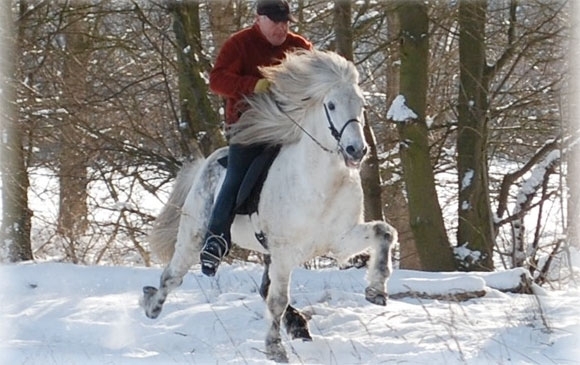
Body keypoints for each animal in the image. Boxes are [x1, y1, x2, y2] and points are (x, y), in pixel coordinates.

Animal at [142, 49, 398, 362]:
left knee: (262, 287)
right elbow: (278, 299)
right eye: (331, 104)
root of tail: (206, 162)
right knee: (172, 276)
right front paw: (275, 348)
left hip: (265, 252)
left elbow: (384, 232)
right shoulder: (285, 251)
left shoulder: (339, 240)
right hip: (194, 235)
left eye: (362, 104)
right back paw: (152, 305)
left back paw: (299, 327)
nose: (356, 150)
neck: (319, 185)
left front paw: (376, 290)